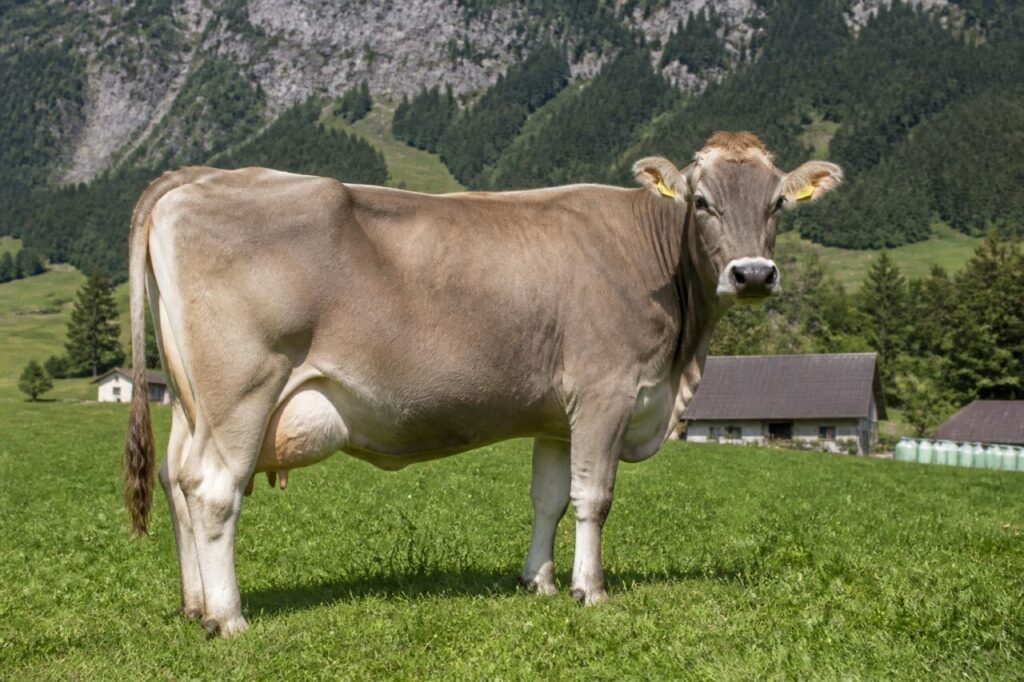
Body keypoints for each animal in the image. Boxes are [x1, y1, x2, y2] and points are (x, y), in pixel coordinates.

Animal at [123, 131, 842, 637]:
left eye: (778, 203)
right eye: (701, 202)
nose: (753, 274)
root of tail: (202, 175)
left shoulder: (558, 414)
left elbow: (550, 499)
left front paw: (539, 581)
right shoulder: (606, 393)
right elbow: (594, 498)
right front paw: (590, 589)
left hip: (191, 401)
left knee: (176, 479)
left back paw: (194, 606)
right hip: (242, 391)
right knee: (214, 492)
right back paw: (229, 618)